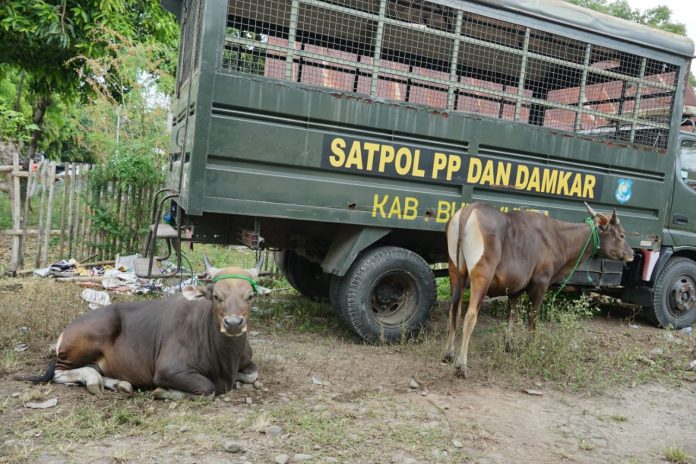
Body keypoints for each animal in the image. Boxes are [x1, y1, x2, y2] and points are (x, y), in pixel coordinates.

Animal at [17, 258, 260, 398]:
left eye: (250, 296)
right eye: (216, 296)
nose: (234, 324)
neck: (226, 358)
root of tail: (67, 329)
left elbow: (253, 374)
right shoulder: (169, 370)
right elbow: (207, 388)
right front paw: (164, 391)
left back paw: (118, 383)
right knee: (59, 372)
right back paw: (94, 380)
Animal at [444, 201, 632, 378]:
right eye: (622, 235)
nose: (631, 254)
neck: (559, 239)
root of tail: (469, 210)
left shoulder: (515, 289)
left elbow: (512, 314)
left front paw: (509, 345)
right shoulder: (540, 283)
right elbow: (532, 317)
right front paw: (530, 346)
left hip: (454, 270)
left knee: (454, 310)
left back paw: (448, 353)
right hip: (482, 274)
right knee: (470, 316)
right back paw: (461, 365)